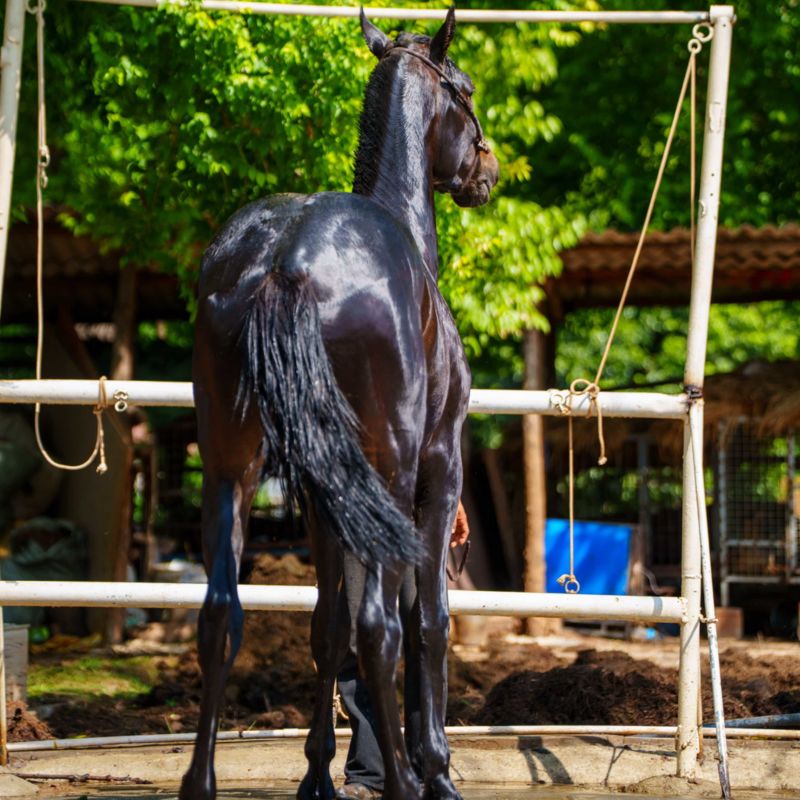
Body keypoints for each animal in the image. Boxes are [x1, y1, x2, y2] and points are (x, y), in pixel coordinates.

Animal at [179, 9, 498, 800]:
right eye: (465, 88)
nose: (486, 167)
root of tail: (285, 259)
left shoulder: (325, 495)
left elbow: (325, 627)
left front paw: (317, 775)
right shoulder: (438, 469)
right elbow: (427, 622)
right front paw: (436, 769)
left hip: (229, 467)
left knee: (221, 616)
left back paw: (201, 782)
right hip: (387, 467)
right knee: (383, 627)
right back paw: (408, 782)